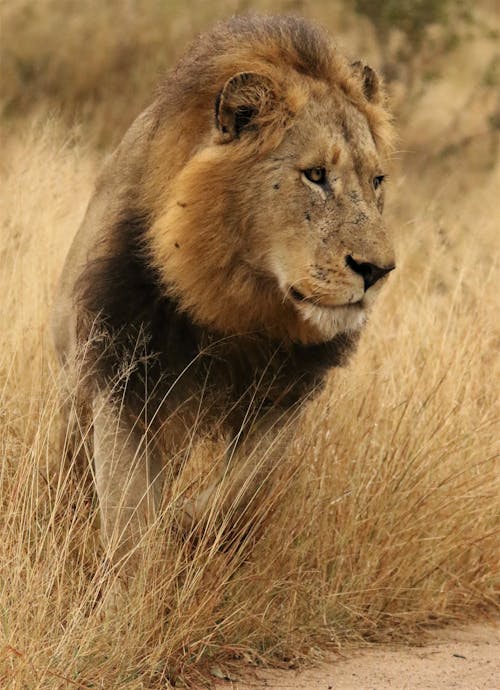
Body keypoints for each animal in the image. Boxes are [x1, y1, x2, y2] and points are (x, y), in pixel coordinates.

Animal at [50, 14, 394, 564]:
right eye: (316, 174)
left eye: (377, 180)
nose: (378, 270)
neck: (236, 301)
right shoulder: (124, 375)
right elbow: (129, 517)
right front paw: (138, 577)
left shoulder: (287, 391)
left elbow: (244, 486)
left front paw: (187, 523)